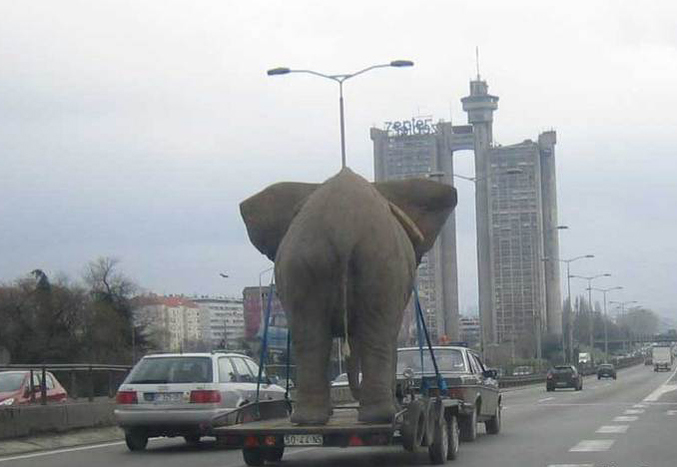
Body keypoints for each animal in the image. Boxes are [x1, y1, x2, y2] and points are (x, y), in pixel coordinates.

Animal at [238, 168, 454, 424]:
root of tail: (343, 231)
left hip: (311, 263)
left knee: (312, 337)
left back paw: (311, 419)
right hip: (374, 265)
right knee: (376, 335)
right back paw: (380, 415)